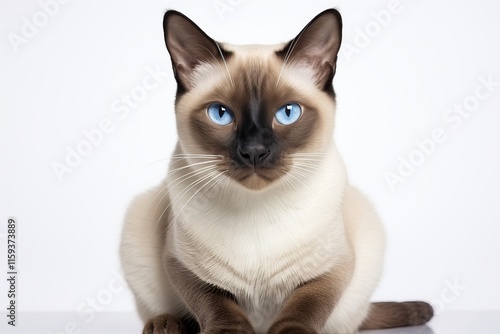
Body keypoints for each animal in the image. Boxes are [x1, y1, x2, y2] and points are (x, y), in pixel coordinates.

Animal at [119, 8, 432, 334]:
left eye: (288, 113)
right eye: (221, 114)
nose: (254, 151)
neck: (256, 210)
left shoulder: (334, 268)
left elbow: (305, 308)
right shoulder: (180, 265)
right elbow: (215, 305)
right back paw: (166, 324)